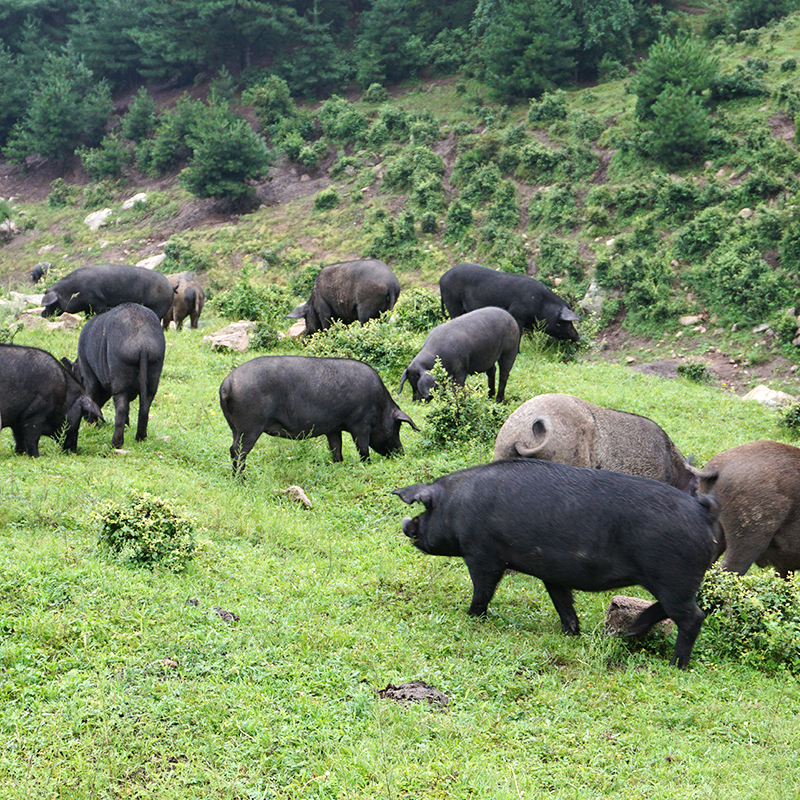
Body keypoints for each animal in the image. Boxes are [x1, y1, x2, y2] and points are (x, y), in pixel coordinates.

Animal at [41, 266, 176, 322]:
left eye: (50, 304)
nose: (41, 314)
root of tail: (171, 287)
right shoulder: (87, 307)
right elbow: (87, 315)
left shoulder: (97, 302)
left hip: (160, 306)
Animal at [219, 356, 418, 476]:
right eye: (397, 427)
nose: (402, 453)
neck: (381, 407)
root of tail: (226, 385)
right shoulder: (361, 424)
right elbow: (362, 448)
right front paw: (366, 465)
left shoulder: (333, 428)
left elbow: (336, 449)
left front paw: (339, 465)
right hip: (250, 425)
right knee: (237, 451)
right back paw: (242, 481)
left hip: (235, 427)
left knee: (232, 448)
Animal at [394, 456, 720, 668]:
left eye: (428, 508)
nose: (407, 524)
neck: (458, 506)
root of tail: (702, 512)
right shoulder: (552, 572)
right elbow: (562, 601)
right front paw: (572, 632)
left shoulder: (482, 554)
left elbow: (483, 589)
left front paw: (471, 616)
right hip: (675, 581)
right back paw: (630, 632)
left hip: (673, 576)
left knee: (692, 616)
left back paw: (675, 664)